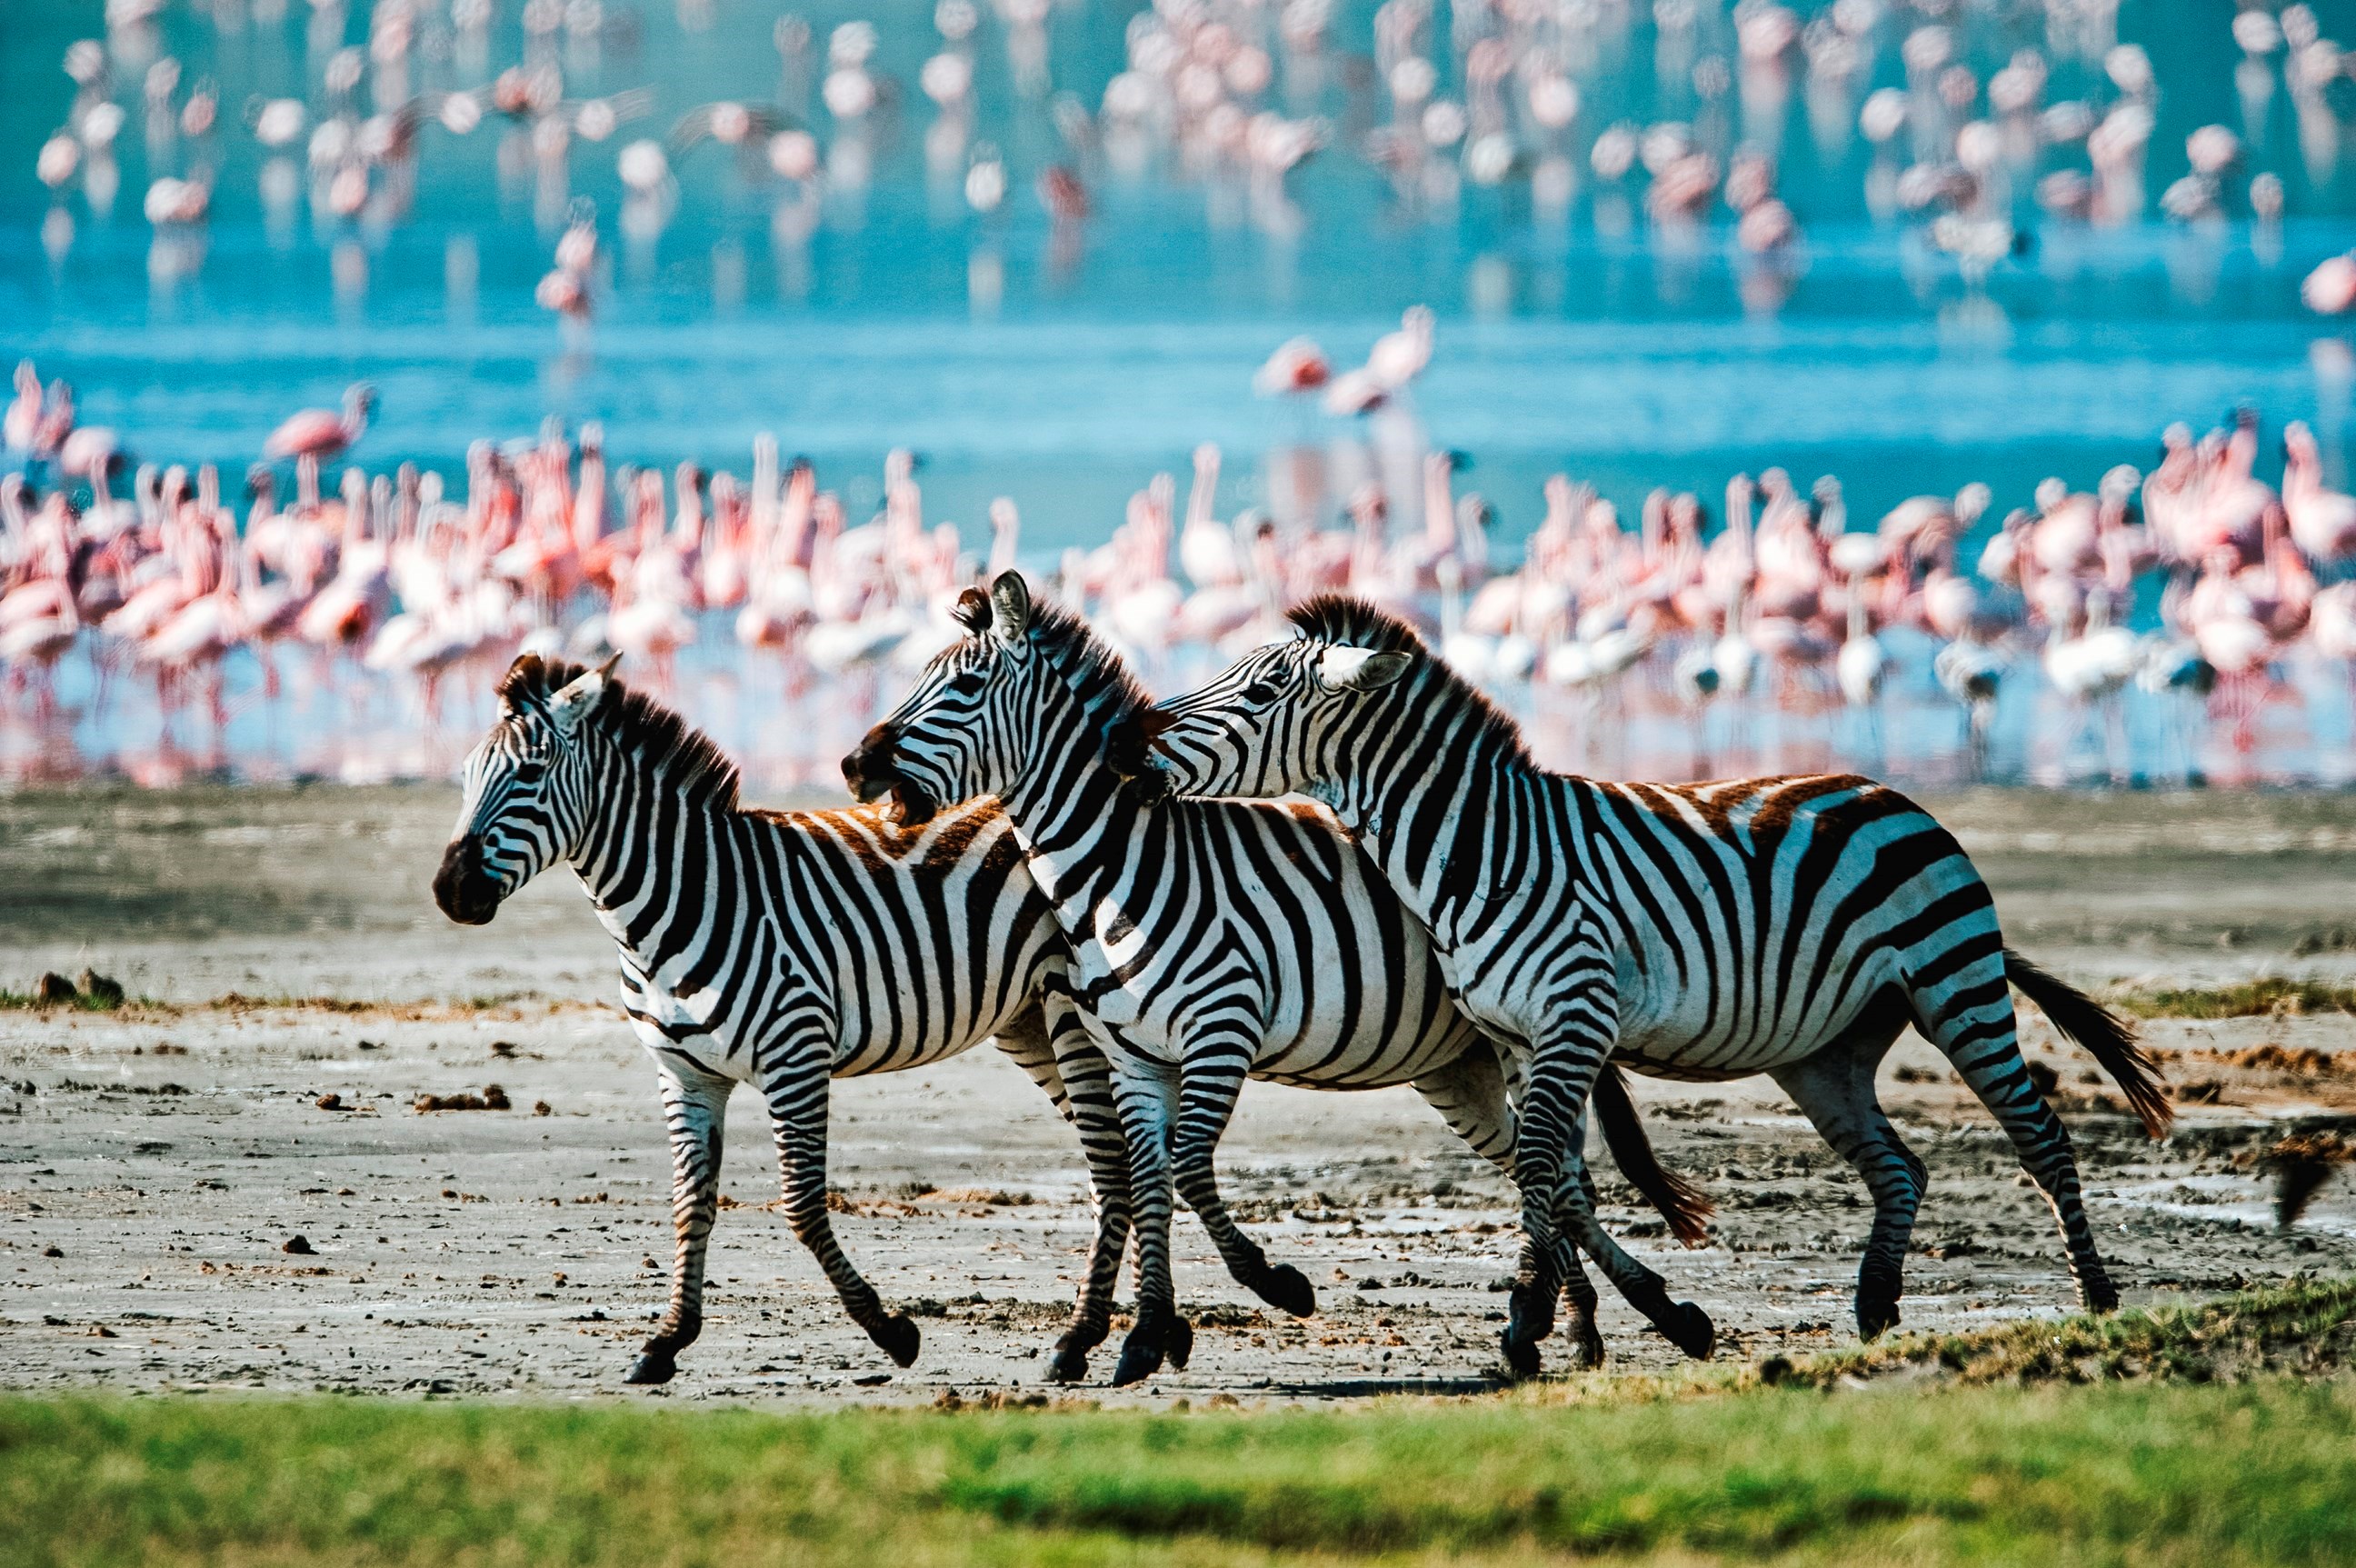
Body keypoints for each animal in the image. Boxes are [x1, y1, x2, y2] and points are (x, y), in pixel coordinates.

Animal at [433, 652, 1139, 1383]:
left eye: (530, 774)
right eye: (466, 776)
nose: (451, 891)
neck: (679, 900)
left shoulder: (795, 1055)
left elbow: (800, 1204)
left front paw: (891, 1331)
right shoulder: (684, 1074)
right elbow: (692, 1201)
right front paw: (666, 1341)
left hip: (1072, 1014)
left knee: (1115, 1161)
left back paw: (1088, 1336)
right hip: (1027, 1022)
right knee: (1116, 1160)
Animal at [842, 574, 1713, 1385]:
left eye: (963, 688)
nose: (853, 765)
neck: (1120, 865)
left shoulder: (1219, 1028)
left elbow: (1186, 1166)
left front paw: (1274, 1286)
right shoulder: (1132, 1050)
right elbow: (1152, 1174)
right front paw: (1147, 1334)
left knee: (1561, 1172)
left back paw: (1622, 1320)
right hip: (1462, 1066)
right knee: (1552, 1172)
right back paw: (1583, 1328)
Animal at [1113, 596, 2172, 1376]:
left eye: (1259, 690)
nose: (1132, 752)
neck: (1482, 849)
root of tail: (1891, 795)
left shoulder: (1573, 1016)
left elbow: (1544, 1165)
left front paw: (1528, 1322)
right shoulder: (1522, 1037)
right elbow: (1555, 1172)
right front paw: (1572, 1321)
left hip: (1956, 984)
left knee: (2041, 1137)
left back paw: (2095, 1302)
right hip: (1825, 1053)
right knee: (1899, 1167)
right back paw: (1874, 1309)